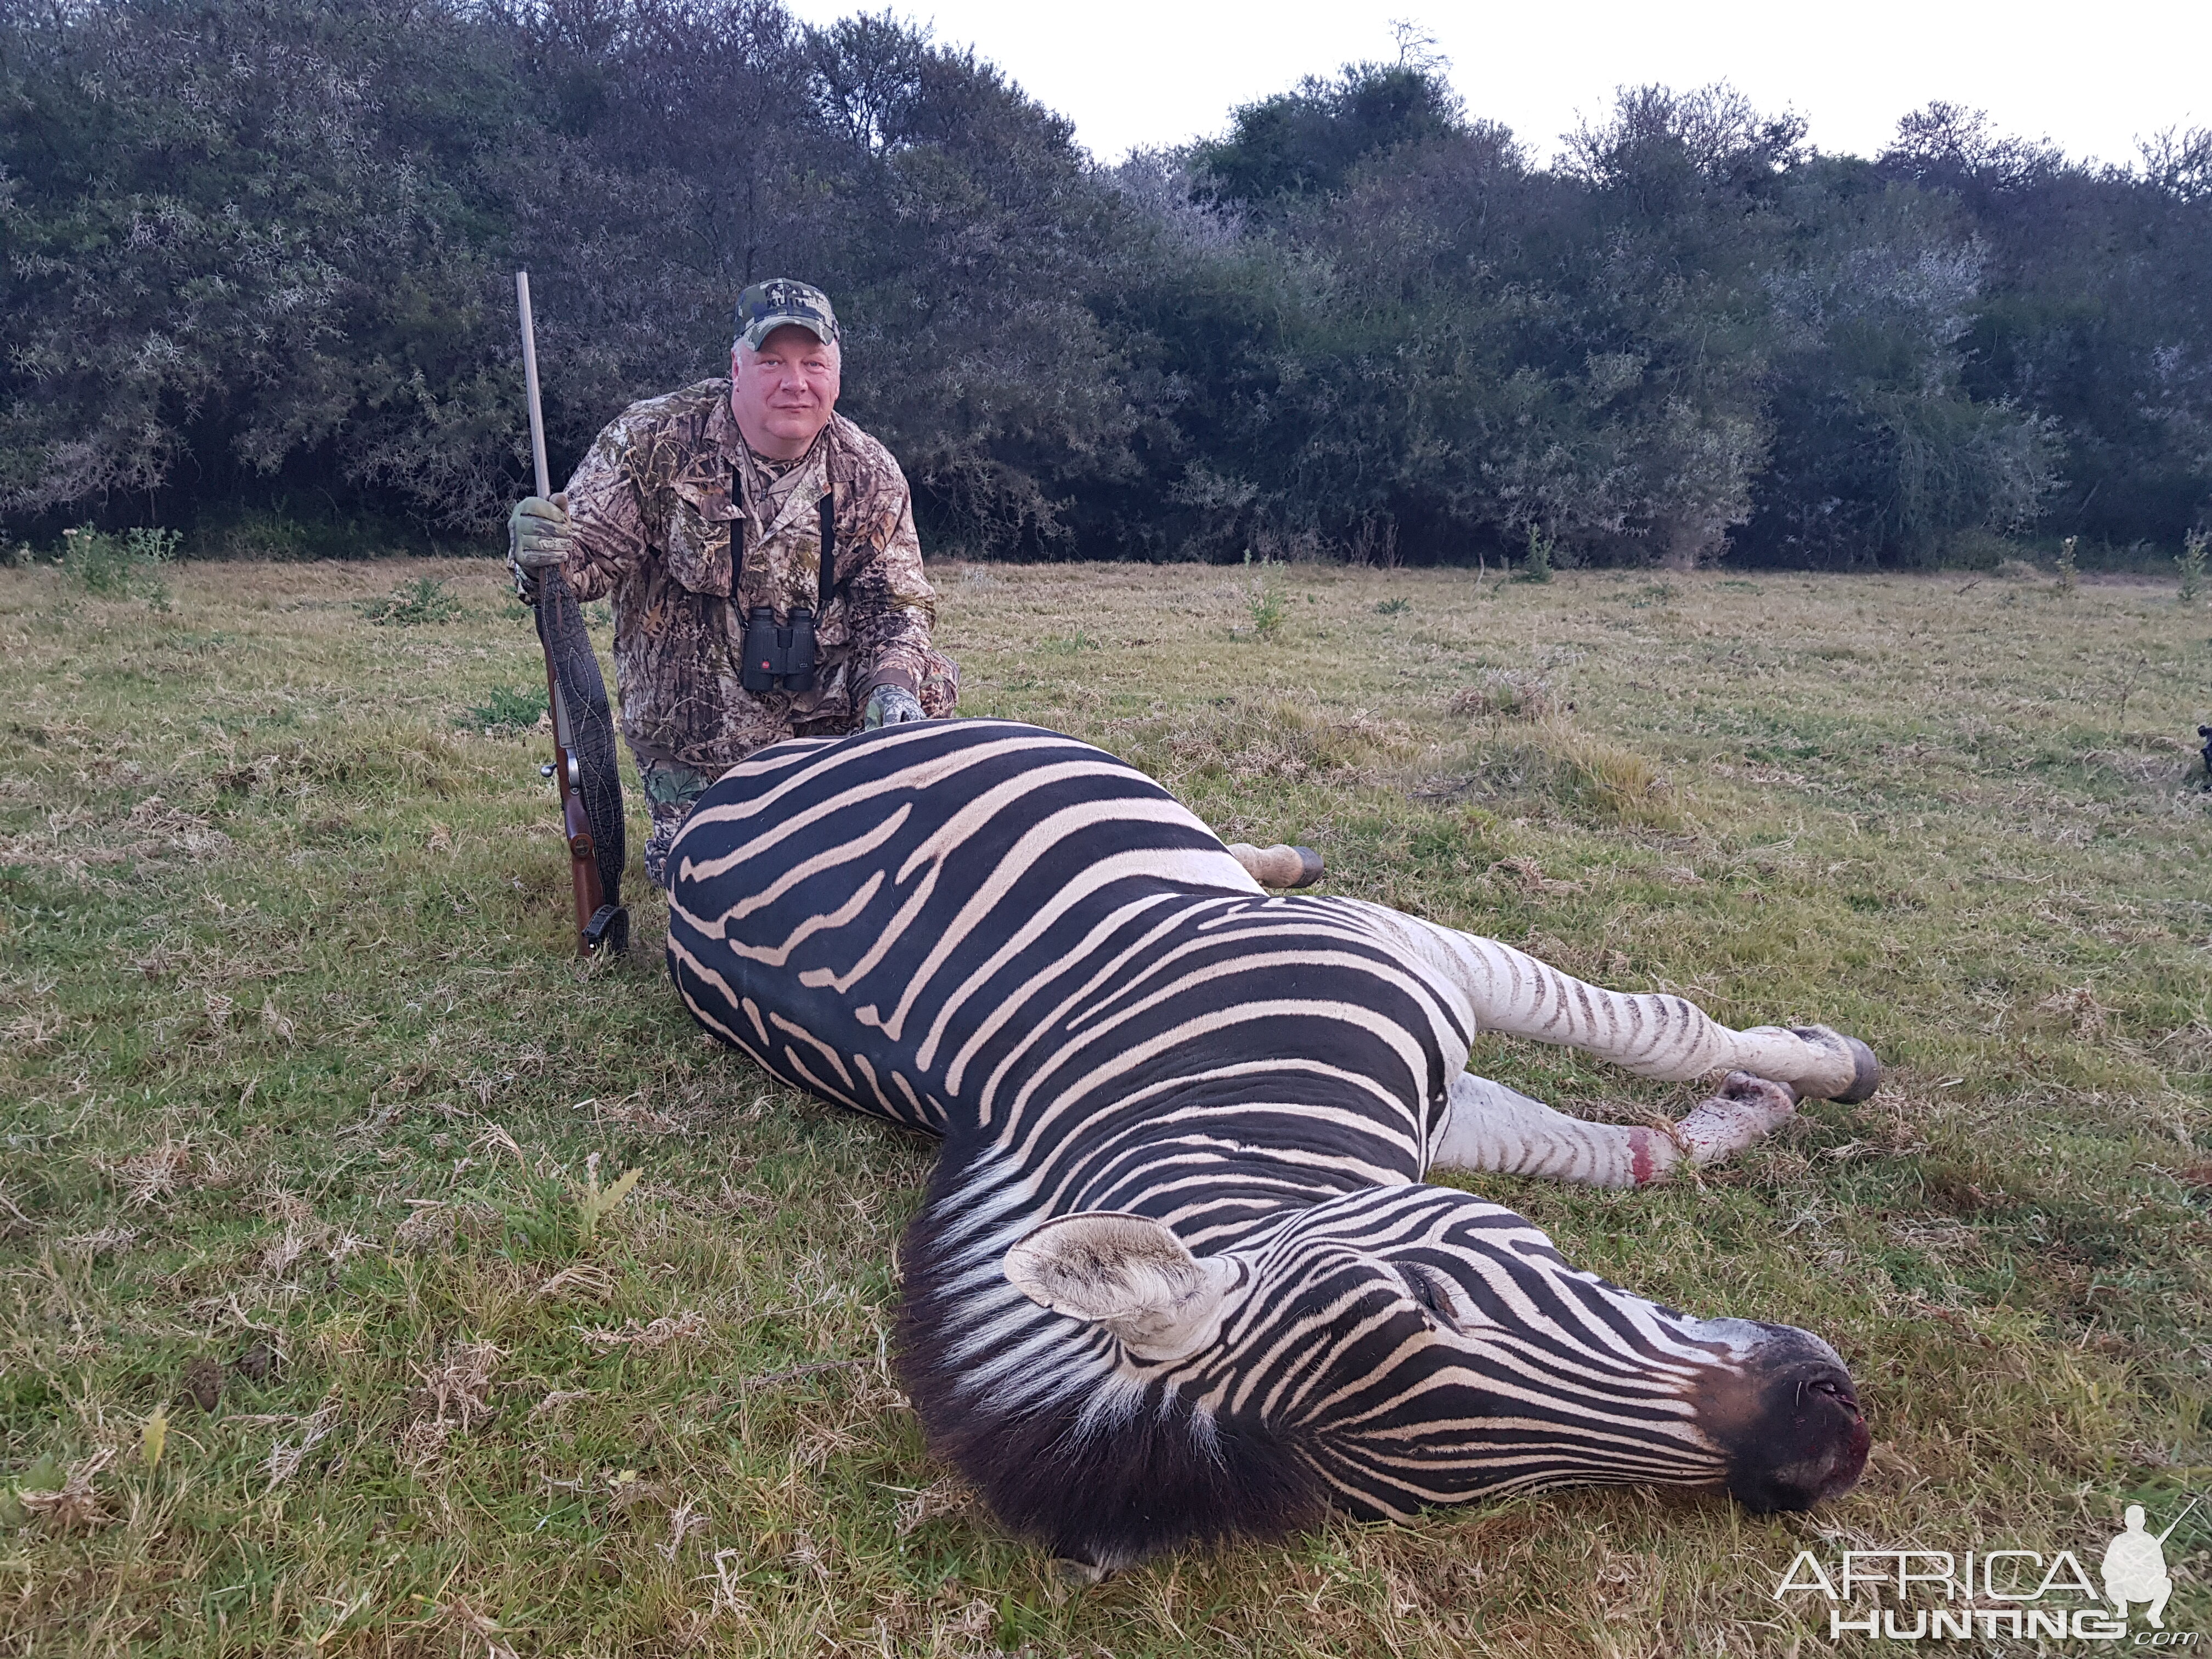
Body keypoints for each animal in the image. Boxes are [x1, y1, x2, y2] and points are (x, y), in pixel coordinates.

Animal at [663, 716, 1876, 1575]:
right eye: (1488, 1490)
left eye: (1430, 1292)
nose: (1815, 1450)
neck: (1228, 1109)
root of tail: (687, 837)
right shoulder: (1424, 1079)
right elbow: (1621, 1139)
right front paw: (1760, 1099)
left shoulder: (1410, 958)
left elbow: (1661, 1034)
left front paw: (1821, 1066)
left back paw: (1275, 853)